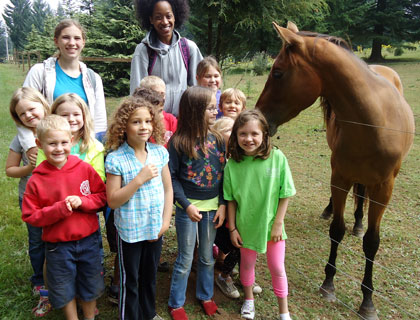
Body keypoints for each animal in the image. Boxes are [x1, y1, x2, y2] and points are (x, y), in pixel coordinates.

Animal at [254, 21, 416, 318]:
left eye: (278, 72)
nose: (260, 118)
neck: (373, 121)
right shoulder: (339, 177)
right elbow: (337, 230)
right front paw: (328, 283)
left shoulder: (384, 188)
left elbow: (372, 242)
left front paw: (367, 300)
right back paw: (334, 212)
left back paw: (359, 223)